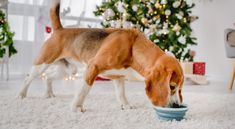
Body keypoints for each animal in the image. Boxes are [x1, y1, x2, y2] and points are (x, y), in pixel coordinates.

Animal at [17, 0, 184, 112]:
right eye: (171, 86)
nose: (177, 105)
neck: (133, 48)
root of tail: (60, 29)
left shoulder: (118, 77)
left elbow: (121, 94)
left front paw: (126, 105)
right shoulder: (93, 67)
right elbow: (83, 90)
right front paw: (76, 107)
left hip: (68, 69)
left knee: (48, 77)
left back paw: (48, 94)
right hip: (42, 63)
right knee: (28, 78)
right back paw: (21, 95)